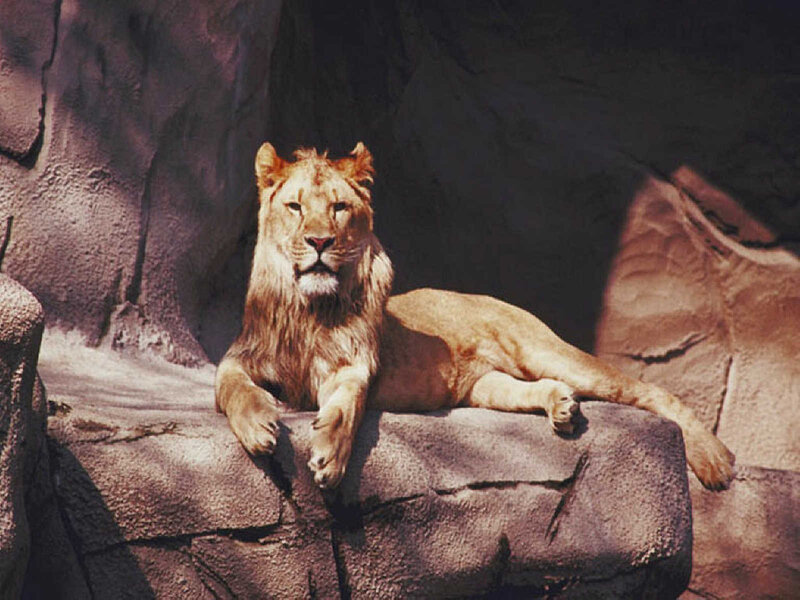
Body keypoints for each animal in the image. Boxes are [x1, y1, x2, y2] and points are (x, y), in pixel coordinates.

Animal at [215, 141, 735, 491]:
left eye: (339, 208)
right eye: (295, 206)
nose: (320, 241)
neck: (309, 308)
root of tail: (493, 298)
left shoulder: (354, 368)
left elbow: (345, 408)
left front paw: (328, 455)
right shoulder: (239, 359)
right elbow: (232, 388)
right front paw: (258, 428)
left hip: (551, 353)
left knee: (649, 390)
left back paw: (715, 460)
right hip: (486, 386)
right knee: (531, 390)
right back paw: (561, 406)